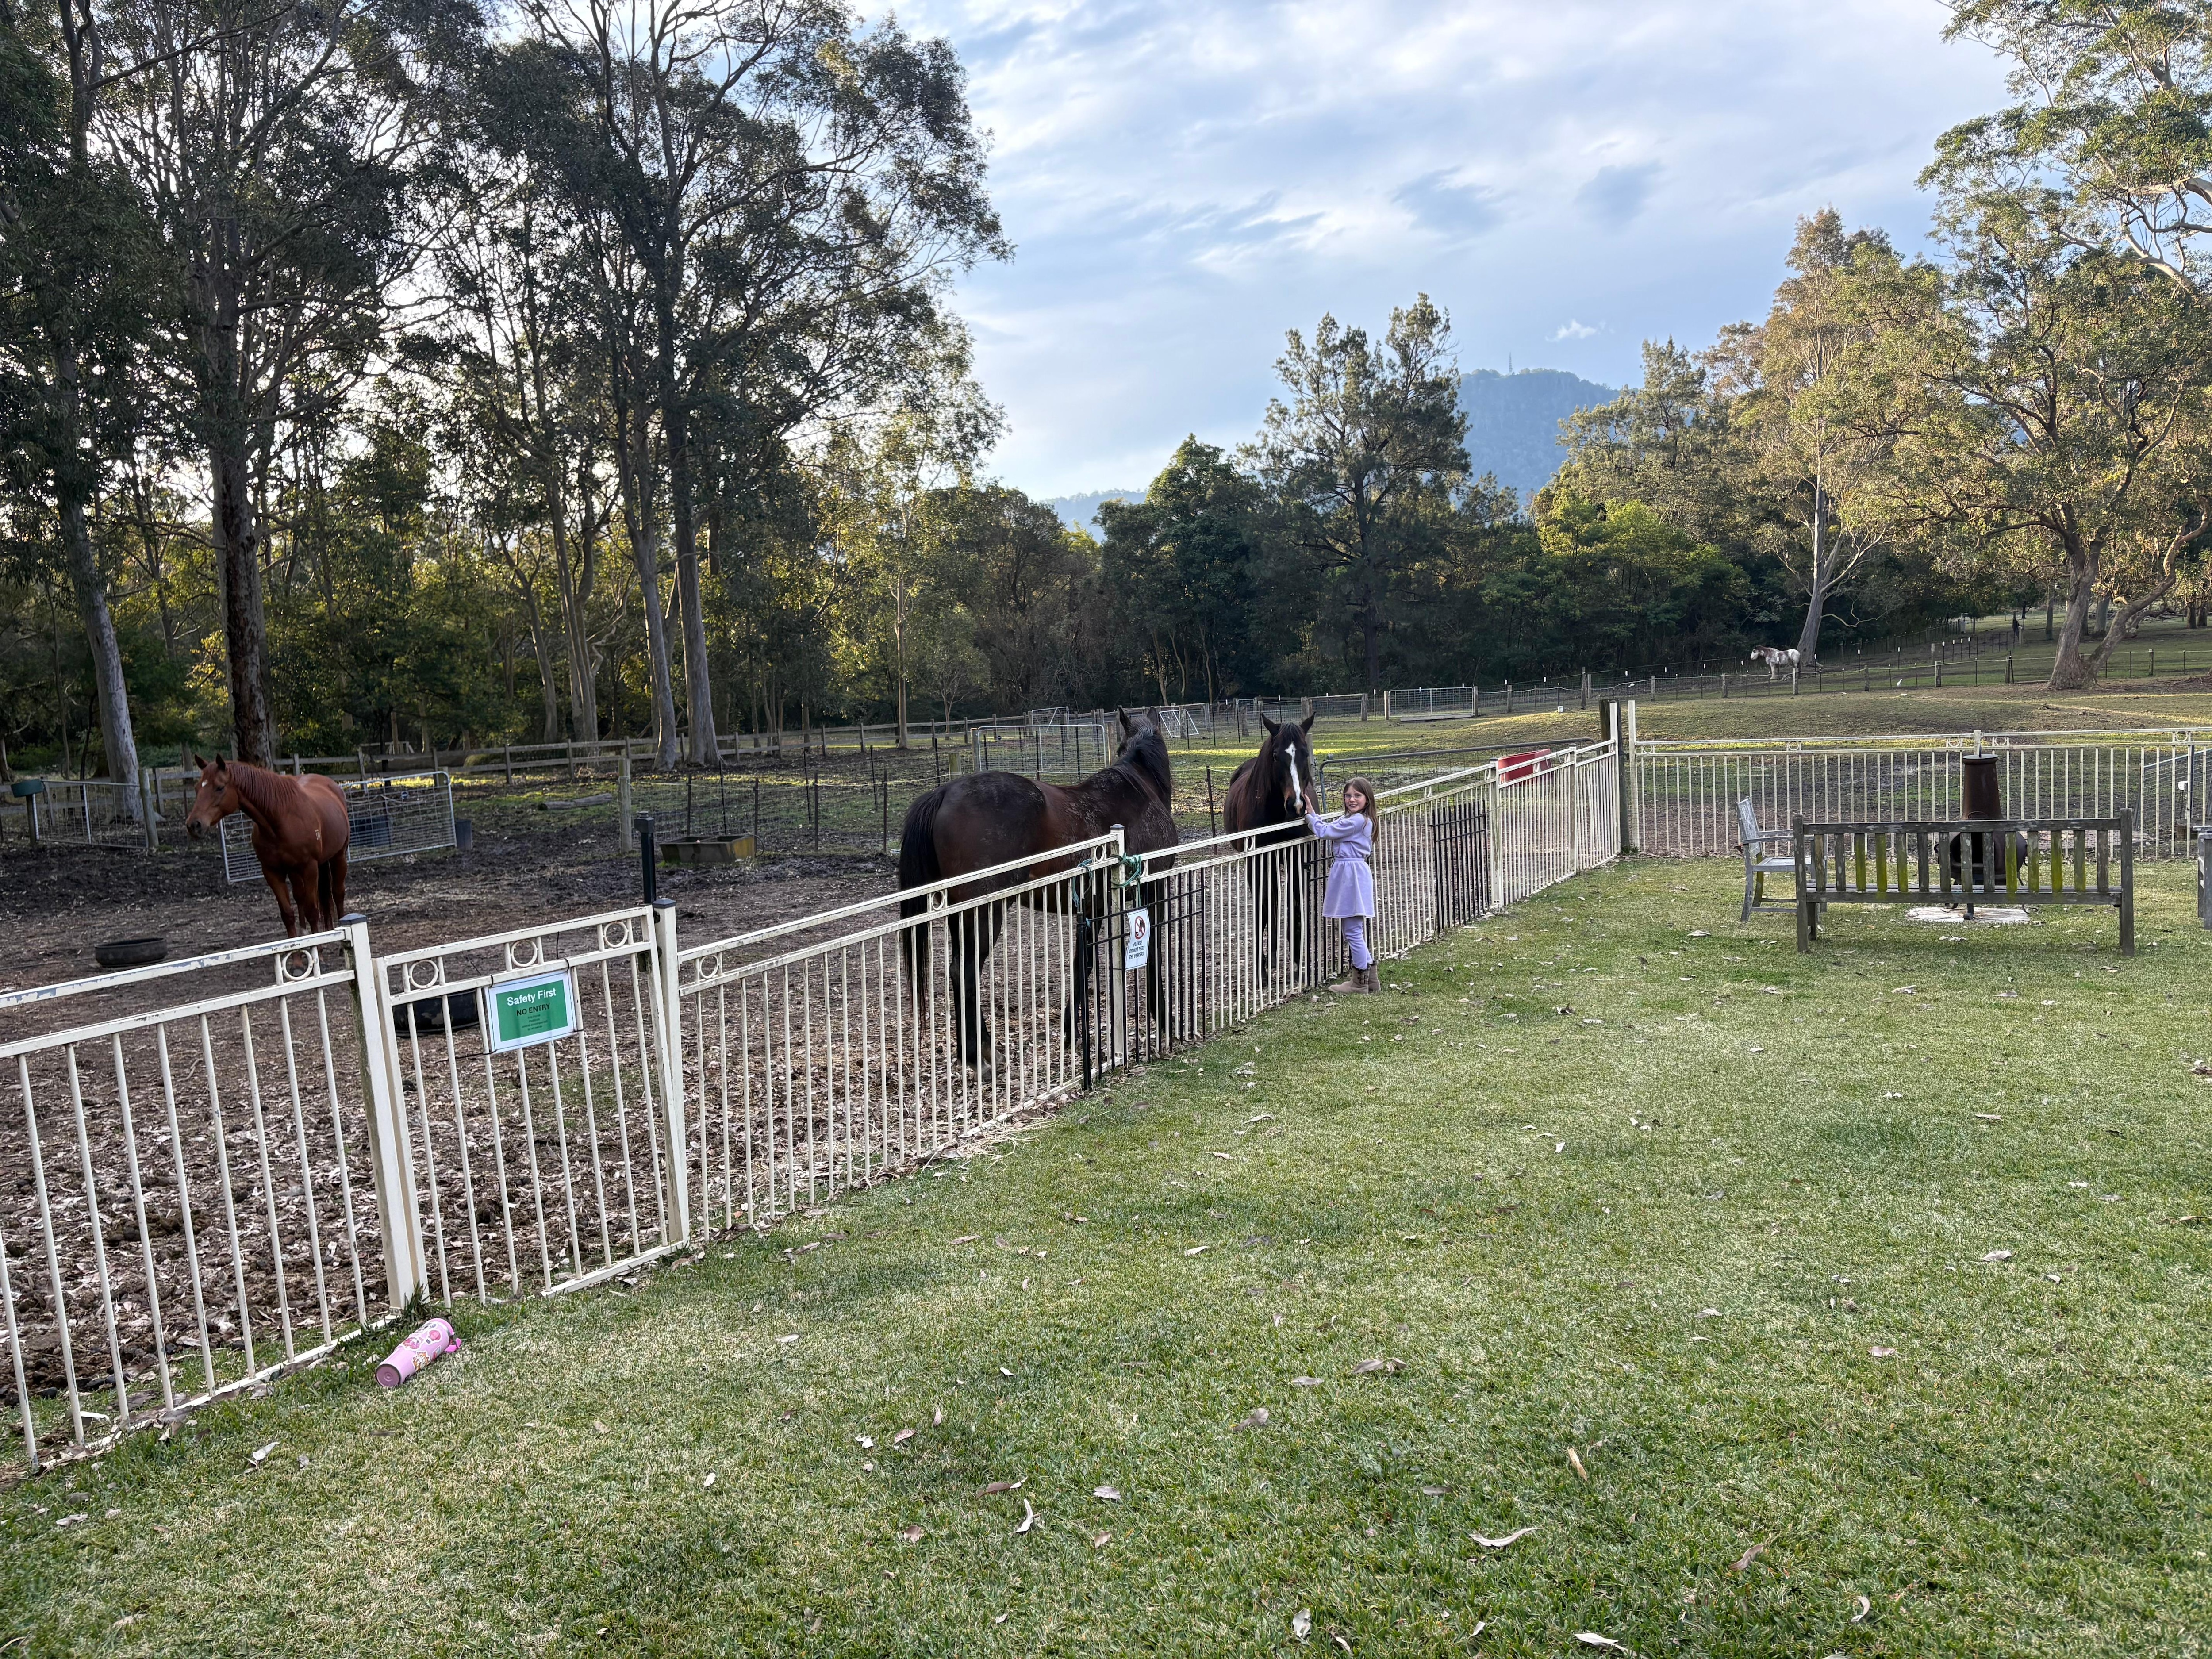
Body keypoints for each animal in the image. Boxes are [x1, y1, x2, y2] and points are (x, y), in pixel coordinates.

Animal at [184, 756, 352, 937]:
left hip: (338, 857)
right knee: (300, 896)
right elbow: (287, 914)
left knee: (338, 893)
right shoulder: (272, 872)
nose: (194, 825)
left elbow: (313, 912)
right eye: (197, 788)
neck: (281, 819)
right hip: (295, 871)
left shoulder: (310, 868)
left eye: (220, 787)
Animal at [898, 709, 1178, 1067]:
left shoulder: (1094, 907)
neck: (1141, 790)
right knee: (965, 972)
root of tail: (944, 792)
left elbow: (1083, 965)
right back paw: (982, 1054)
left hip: (960, 916)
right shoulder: (1152, 891)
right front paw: (1165, 1020)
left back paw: (970, 1053)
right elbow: (1152, 957)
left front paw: (1071, 1036)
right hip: (985, 912)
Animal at [1222, 711, 1319, 980]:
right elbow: (1263, 910)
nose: (1297, 806)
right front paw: (1262, 968)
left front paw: (1297, 964)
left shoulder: (1297, 857)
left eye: (1305, 754)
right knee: (1268, 905)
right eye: (1276, 756)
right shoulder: (1256, 861)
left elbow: (1295, 907)